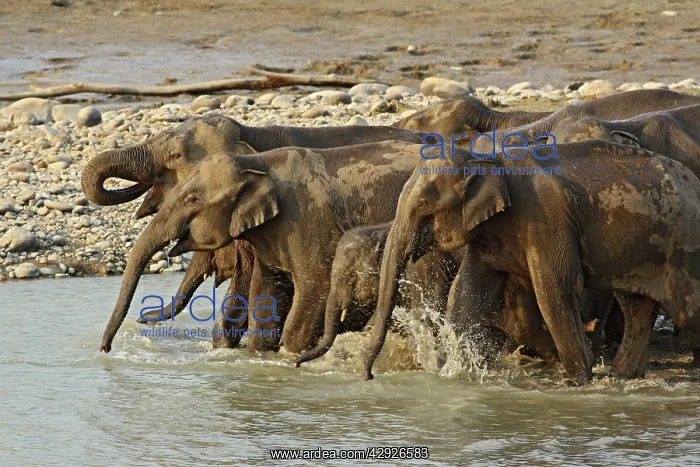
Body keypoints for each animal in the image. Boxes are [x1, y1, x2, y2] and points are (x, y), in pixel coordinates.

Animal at [98, 140, 434, 355]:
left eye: (192, 200)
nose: (105, 349)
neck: (257, 163)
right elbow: (265, 296)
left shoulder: (307, 221)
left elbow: (315, 288)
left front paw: (290, 359)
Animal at [362, 140, 700, 385]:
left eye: (424, 205)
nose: (368, 376)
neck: (486, 159)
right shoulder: (491, 234)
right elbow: (464, 295)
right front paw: (455, 376)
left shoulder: (546, 220)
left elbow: (554, 291)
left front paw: (580, 385)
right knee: (637, 308)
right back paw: (623, 377)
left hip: (683, 245)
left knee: (685, 311)